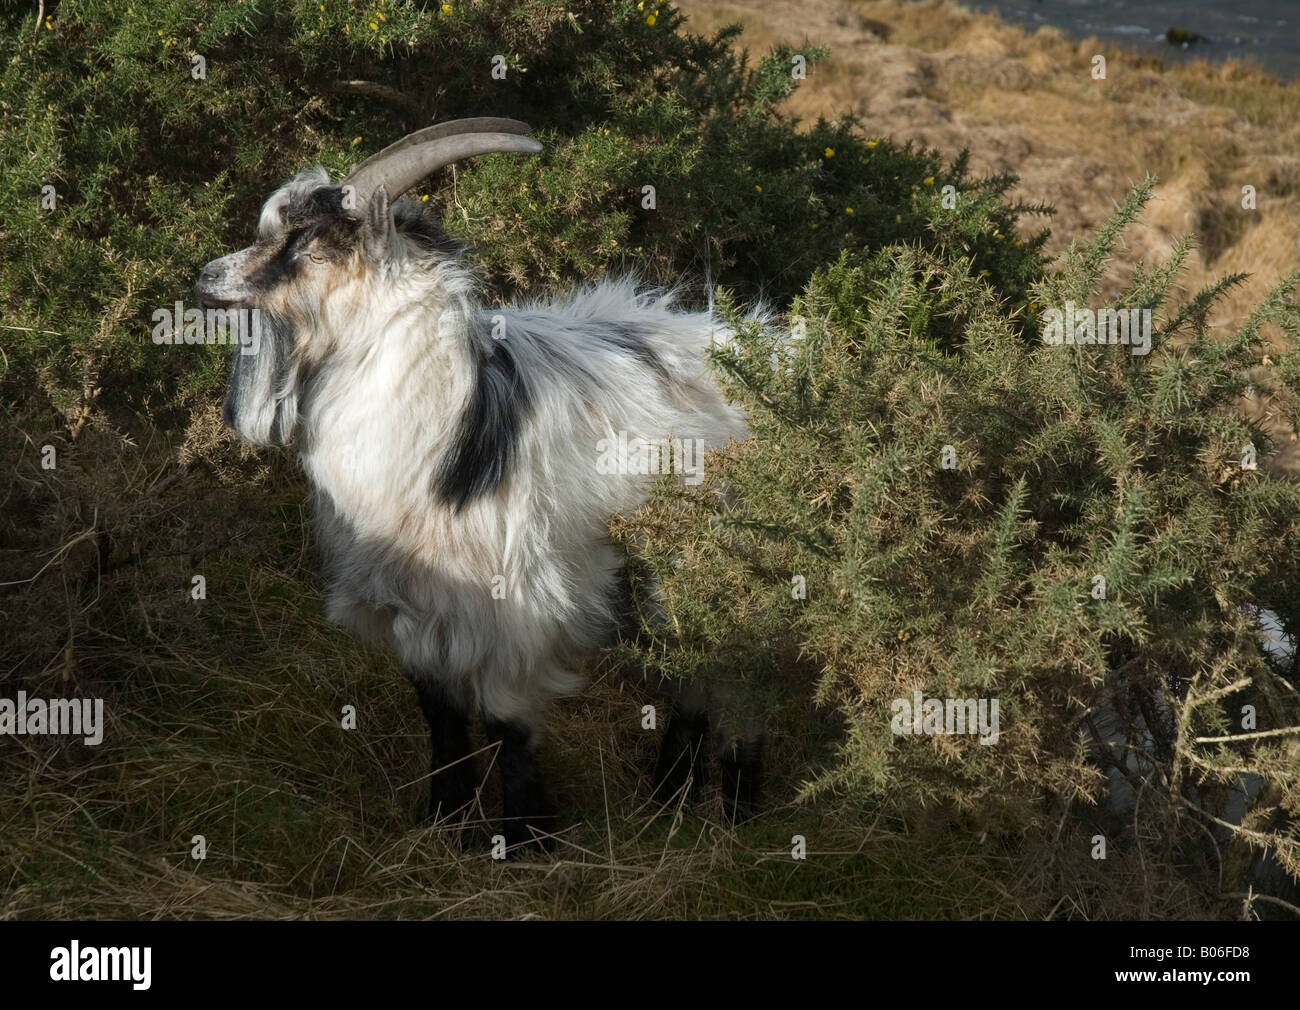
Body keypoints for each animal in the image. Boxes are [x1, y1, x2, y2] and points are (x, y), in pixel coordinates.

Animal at [195, 118, 763, 847]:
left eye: (314, 246)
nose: (207, 277)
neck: (440, 424)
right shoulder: (415, 600)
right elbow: (440, 714)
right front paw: (444, 814)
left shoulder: (515, 606)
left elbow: (506, 723)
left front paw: (522, 836)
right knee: (693, 679)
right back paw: (670, 795)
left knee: (732, 679)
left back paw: (739, 808)